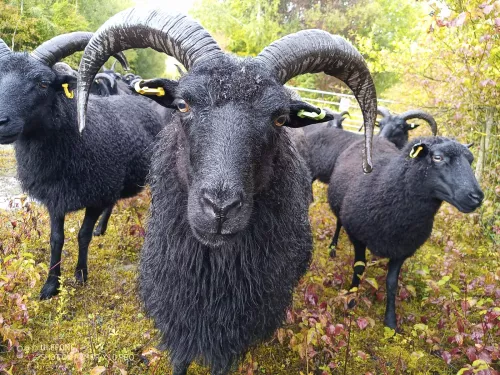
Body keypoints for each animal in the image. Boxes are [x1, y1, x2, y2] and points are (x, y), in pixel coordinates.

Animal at [0, 33, 169, 302]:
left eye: (43, 83)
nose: (0, 121)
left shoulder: (95, 196)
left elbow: (82, 235)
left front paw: (80, 275)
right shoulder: (55, 198)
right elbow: (56, 239)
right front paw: (51, 285)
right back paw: (102, 227)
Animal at [76, 7, 376, 374]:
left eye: (279, 119)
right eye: (182, 105)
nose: (220, 209)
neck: (212, 272)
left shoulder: (231, 338)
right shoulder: (178, 322)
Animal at [326, 137, 482, 330]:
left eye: (471, 160)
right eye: (437, 157)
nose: (477, 197)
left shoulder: (403, 248)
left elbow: (392, 283)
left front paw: (390, 322)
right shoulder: (358, 237)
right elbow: (359, 269)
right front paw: (351, 299)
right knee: (338, 223)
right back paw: (332, 247)